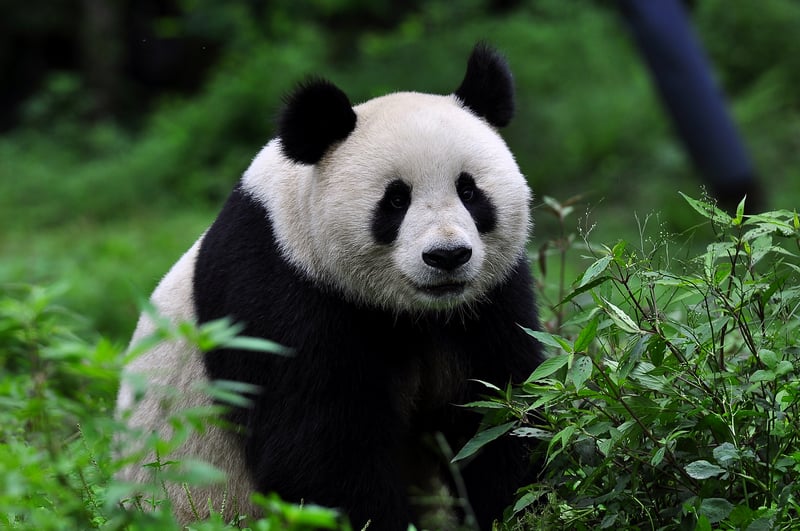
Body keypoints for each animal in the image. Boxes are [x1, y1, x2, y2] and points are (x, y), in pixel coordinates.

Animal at [116, 43, 543, 530]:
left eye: (469, 192)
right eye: (396, 200)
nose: (447, 256)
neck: (414, 313)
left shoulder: (490, 298)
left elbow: (501, 407)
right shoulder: (281, 288)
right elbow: (318, 446)